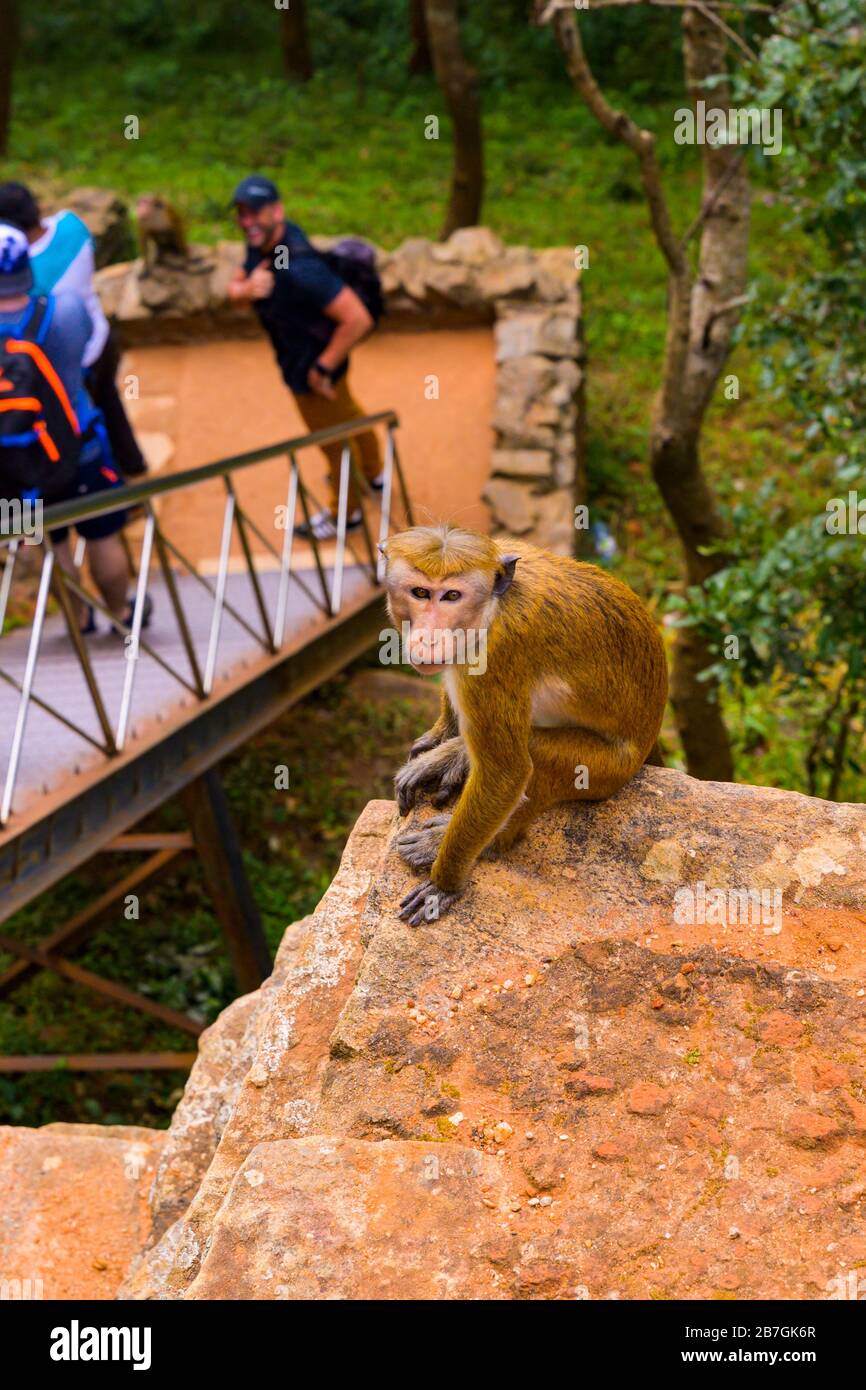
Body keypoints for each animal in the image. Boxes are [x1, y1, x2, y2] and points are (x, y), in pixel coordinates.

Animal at [380, 525, 670, 928]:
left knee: (538, 753)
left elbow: (507, 773)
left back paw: (483, 840)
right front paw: (442, 736)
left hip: (610, 769)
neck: (492, 608)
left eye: (452, 595)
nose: (431, 634)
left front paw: (445, 883)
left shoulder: (494, 658)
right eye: (420, 592)